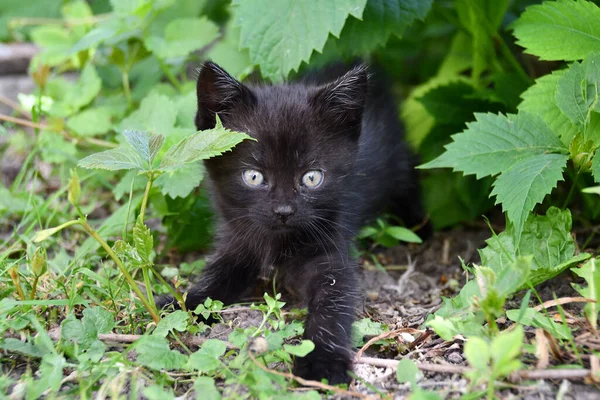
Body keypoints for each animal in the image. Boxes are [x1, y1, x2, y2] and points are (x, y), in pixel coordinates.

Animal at [158, 61, 426, 384]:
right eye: (254, 176)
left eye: (311, 178)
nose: (283, 211)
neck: (277, 242)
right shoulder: (238, 242)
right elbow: (217, 277)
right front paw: (178, 303)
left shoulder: (332, 256)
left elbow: (332, 305)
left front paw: (323, 361)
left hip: (397, 162)